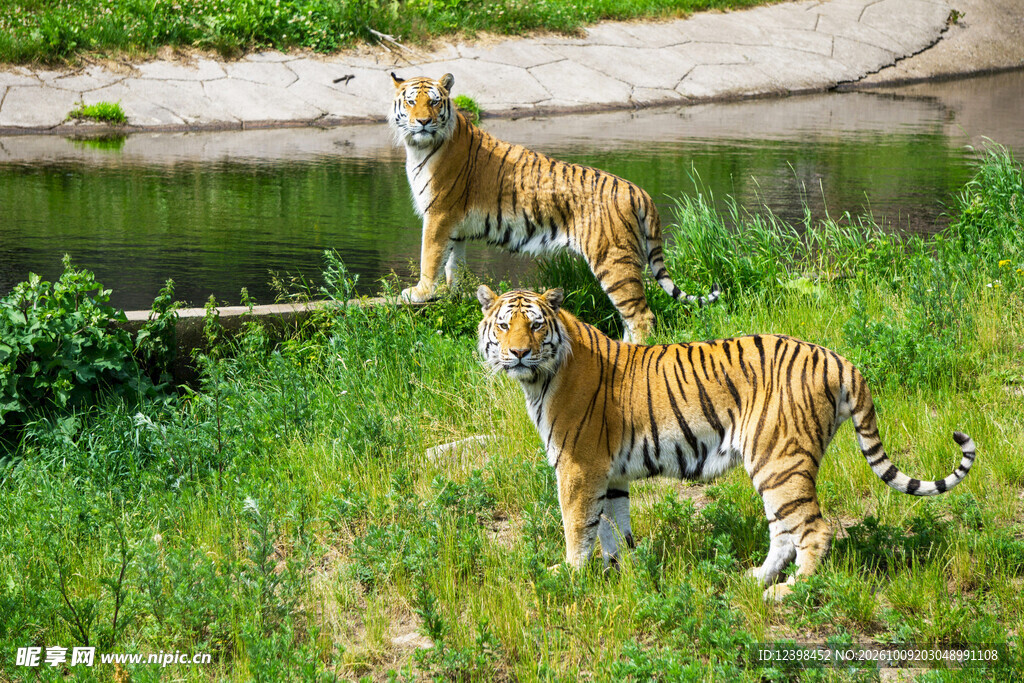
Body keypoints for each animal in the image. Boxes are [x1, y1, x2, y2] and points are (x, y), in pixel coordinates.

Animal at [388, 72, 719, 343]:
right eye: (411, 101)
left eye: (433, 102)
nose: (423, 122)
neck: (419, 147)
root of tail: (637, 190)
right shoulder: (454, 226)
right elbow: (452, 263)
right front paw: (452, 293)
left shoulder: (438, 214)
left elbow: (430, 256)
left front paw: (419, 292)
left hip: (614, 259)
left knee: (640, 315)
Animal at [475, 285, 977, 600]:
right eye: (503, 326)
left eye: (535, 326)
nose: (518, 353)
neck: (540, 378)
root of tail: (838, 359)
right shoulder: (610, 474)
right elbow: (613, 528)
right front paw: (616, 574)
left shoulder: (578, 467)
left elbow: (577, 526)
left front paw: (569, 576)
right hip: (777, 465)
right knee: (784, 531)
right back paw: (754, 579)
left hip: (779, 459)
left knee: (814, 530)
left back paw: (788, 592)